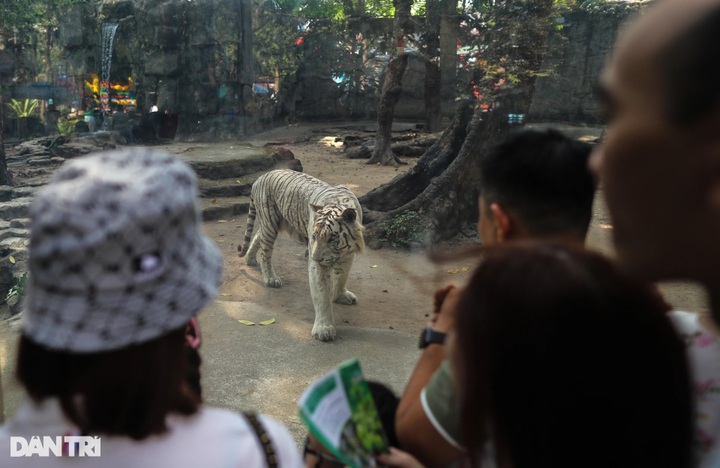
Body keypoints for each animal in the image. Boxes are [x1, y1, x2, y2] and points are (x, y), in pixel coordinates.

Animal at [238, 169, 365, 341]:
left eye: (332, 238)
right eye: (314, 236)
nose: (315, 258)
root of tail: (261, 177)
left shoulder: (348, 256)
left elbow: (341, 278)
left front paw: (341, 296)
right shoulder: (318, 265)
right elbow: (322, 295)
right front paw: (324, 329)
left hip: (272, 225)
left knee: (258, 236)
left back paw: (250, 259)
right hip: (270, 223)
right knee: (265, 254)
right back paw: (270, 278)